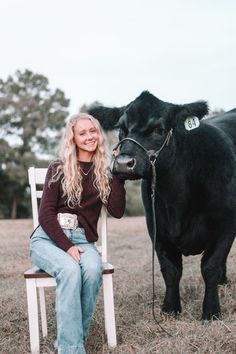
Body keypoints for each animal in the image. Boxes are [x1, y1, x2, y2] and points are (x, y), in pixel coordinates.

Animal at [89, 90, 236, 320]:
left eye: (158, 129)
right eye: (122, 128)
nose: (123, 163)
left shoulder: (226, 224)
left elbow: (211, 266)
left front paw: (211, 311)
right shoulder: (156, 226)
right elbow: (170, 269)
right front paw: (170, 308)